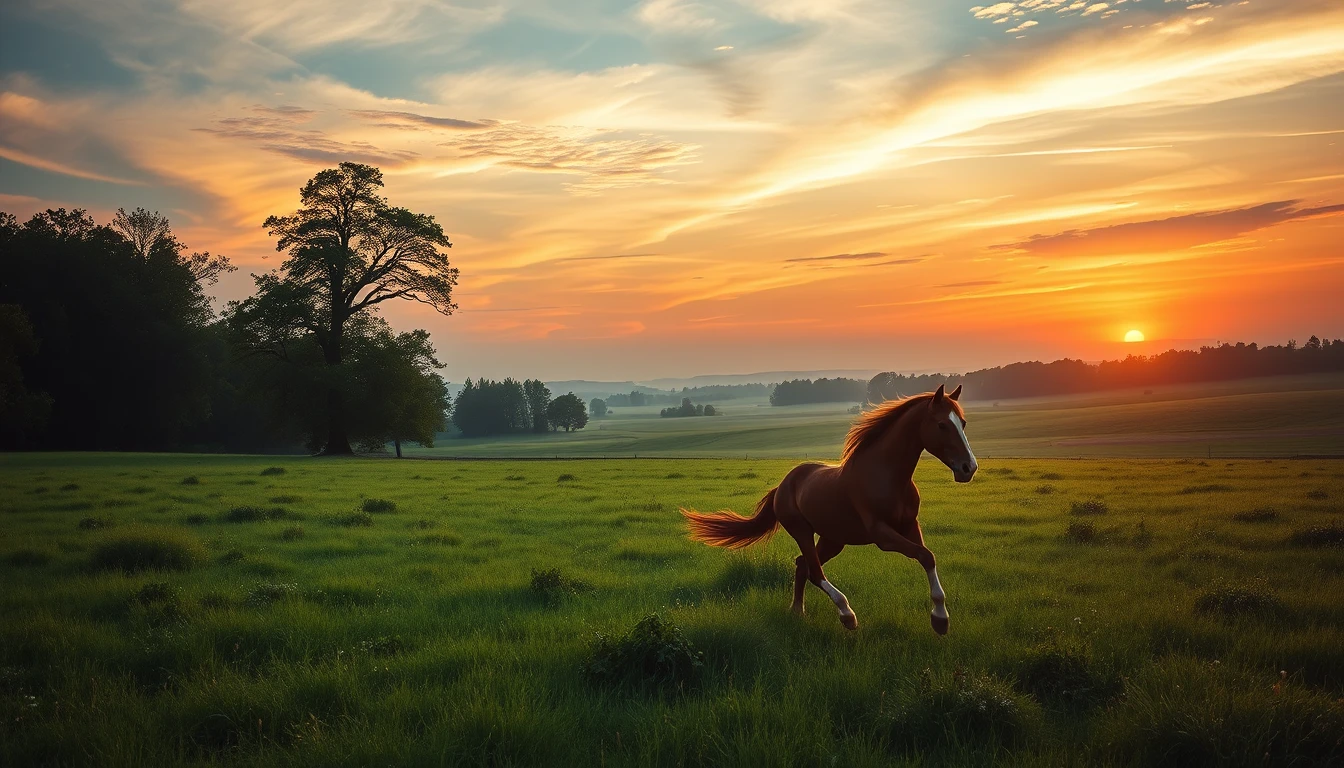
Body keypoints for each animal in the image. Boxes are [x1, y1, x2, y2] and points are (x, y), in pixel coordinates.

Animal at [681, 384, 977, 635]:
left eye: (962, 423)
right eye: (941, 424)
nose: (968, 468)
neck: (886, 476)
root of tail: (784, 484)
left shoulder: (909, 525)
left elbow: (928, 557)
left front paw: (940, 620)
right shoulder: (881, 534)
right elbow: (924, 555)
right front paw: (940, 618)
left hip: (833, 539)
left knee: (802, 565)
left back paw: (797, 612)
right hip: (802, 530)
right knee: (813, 571)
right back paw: (847, 615)